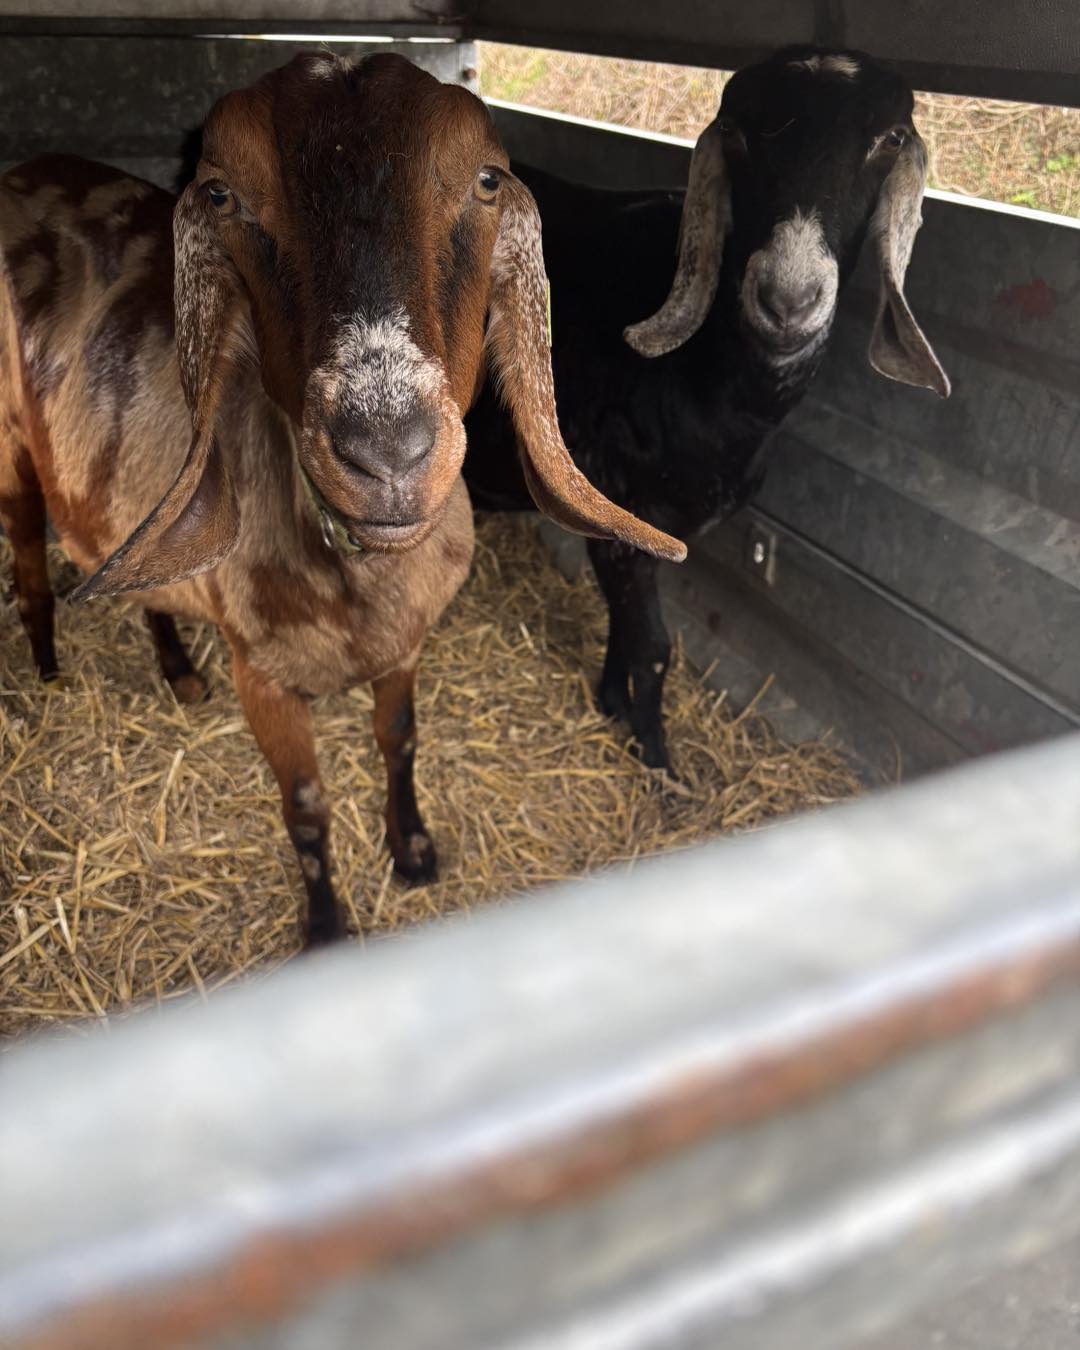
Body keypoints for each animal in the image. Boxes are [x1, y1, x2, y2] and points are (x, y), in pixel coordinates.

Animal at [0, 51, 684, 943]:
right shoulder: (264, 678)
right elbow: (306, 804)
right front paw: (326, 926)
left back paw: (179, 672)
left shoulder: (406, 647)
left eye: (487, 179)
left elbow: (398, 739)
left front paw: (414, 850)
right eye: (221, 195)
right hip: (11, 451)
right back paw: (48, 669)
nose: (386, 449)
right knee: (29, 560)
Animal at [465, 46, 949, 772]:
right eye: (741, 134)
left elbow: (626, 629)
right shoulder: (621, 513)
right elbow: (655, 647)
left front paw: (611, 706)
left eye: (889, 138)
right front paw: (658, 762)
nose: (788, 300)